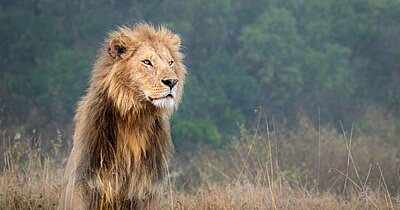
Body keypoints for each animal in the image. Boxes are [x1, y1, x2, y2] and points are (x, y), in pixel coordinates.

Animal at [58, 23, 187, 209]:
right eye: (147, 62)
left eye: (170, 63)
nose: (172, 82)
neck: (136, 118)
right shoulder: (82, 182)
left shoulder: (149, 190)